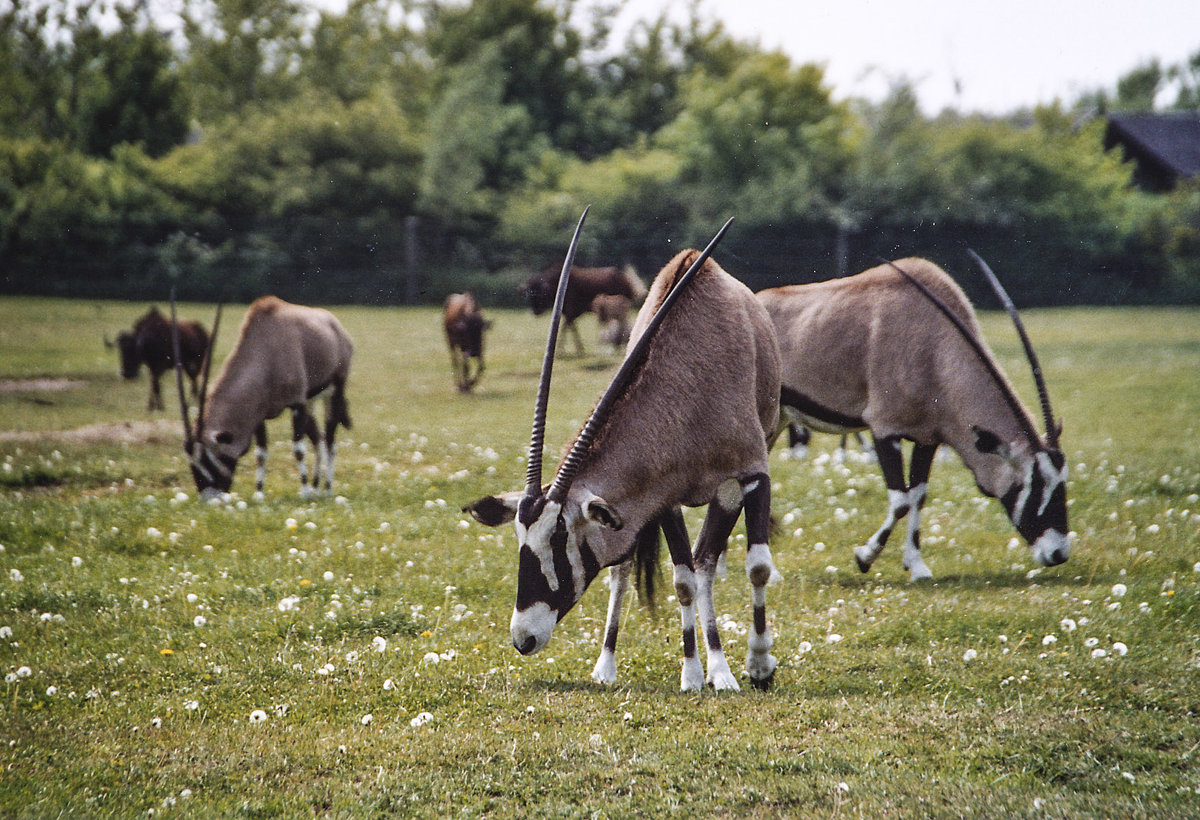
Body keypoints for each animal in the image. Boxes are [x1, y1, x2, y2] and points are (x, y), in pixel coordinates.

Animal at [172, 296, 350, 499]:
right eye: (192, 461)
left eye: (209, 457)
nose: (209, 497)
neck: (266, 352)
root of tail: (335, 325)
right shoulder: (258, 414)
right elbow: (261, 452)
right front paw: (259, 494)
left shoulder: (297, 404)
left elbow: (298, 448)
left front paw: (304, 492)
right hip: (311, 402)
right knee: (317, 439)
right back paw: (316, 488)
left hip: (334, 392)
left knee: (329, 440)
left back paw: (327, 489)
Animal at [463, 213, 782, 691]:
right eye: (520, 538)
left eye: (560, 538)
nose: (524, 638)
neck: (688, 393)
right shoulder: (663, 497)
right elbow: (683, 579)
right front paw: (692, 674)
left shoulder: (750, 474)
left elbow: (755, 566)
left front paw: (755, 665)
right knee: (635, 569)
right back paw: (608, 665)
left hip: (729, 487)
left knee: (708, 562)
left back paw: (725, 667)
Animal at [758, 256, 1070, 583]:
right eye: (1031, 485)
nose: (1058, 554)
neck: (935, 347)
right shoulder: (884, 429)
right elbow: (900, 501)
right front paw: (864, 556)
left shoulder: (927, 438)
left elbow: (918, 496)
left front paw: (917, 566)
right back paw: (768, 572)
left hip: (778, 422)